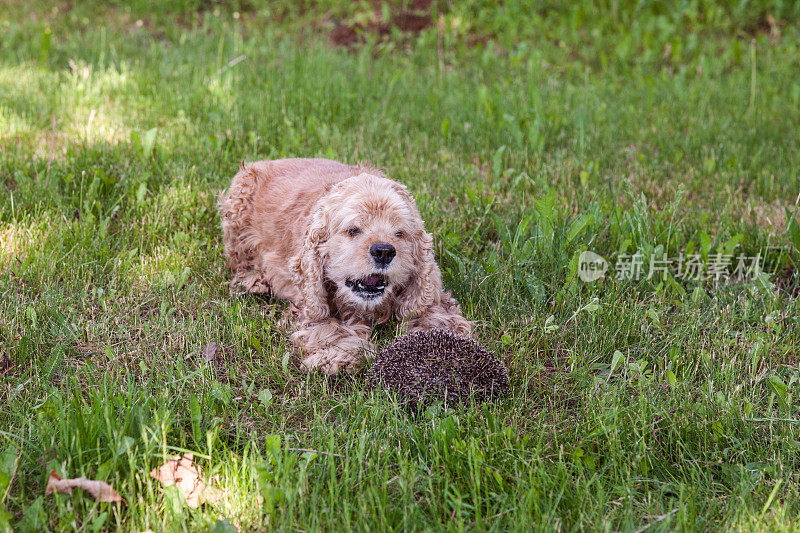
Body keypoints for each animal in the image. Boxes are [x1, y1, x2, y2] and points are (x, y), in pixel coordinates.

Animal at [216, 159, 472, 374]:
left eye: (399, 233)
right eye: (353, 230)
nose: (384, 251)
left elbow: (437, 315)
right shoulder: (308, 304)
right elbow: (329, 329)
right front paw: (340, 355)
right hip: (237, 209)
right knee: (239, 259)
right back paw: (253, 282)